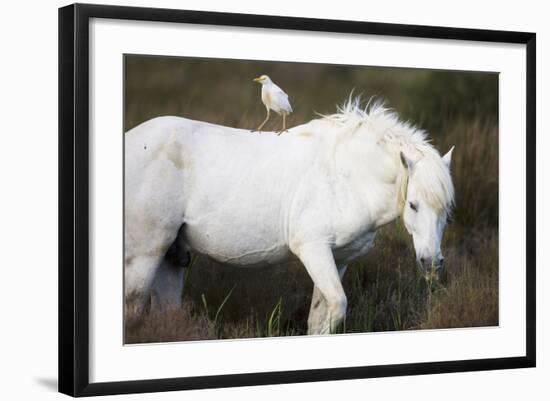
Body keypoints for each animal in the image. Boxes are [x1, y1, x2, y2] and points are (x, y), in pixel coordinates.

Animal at [126, 98, 458, 332]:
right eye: (413, 204)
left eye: (447, 212)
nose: (431, 263)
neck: (346, 175)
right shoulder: (313, 250)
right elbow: (336, 306)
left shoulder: (339, 259)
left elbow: (320, 319)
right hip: (145, 254)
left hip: (171, 257)